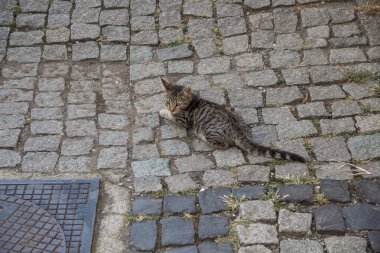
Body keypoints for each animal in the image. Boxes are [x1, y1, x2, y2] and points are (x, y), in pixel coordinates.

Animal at [160, 78, 306, 163]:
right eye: (168, 101)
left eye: (178, 104)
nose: (171, 108)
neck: (191, 100)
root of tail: (238, 129)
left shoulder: (182, 120)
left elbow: (171, 116)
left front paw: (162, 112)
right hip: (239, 117)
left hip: (211, 133)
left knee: (224, 144)